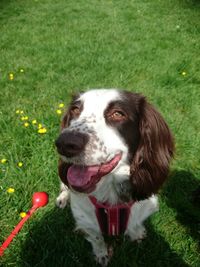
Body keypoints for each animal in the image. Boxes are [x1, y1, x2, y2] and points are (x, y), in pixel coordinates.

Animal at [54, 89, 173, 266]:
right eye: (75, 109)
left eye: (118, 114)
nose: (65, 144)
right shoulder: (86, 220)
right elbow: (97, 238)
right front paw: (102, 254)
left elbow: (135, 224)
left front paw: (137, 234)